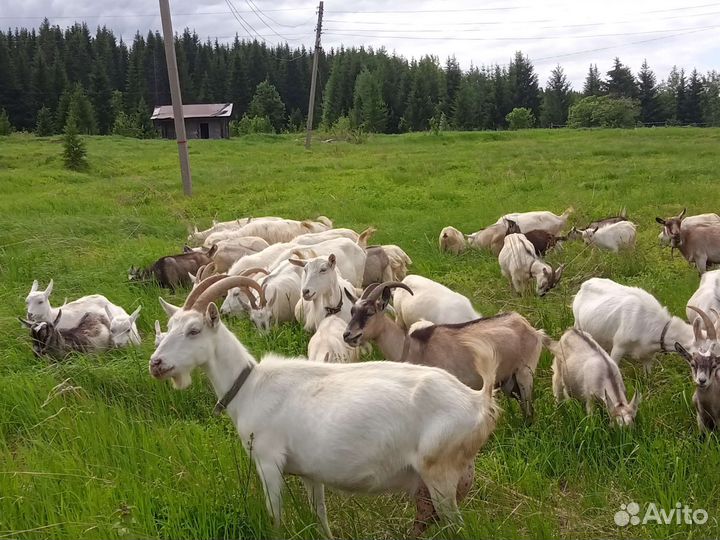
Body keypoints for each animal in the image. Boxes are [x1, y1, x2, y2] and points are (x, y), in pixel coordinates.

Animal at [149, 275, 498, 538]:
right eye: (167, 328)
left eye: (193, 330)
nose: (156, 364)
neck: (250, 386)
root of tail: (478, 401)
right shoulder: (310, 471)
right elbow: (320, 514)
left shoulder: (268, 462)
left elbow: (276, 517)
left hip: (439, 473)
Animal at [344, 281, 542, 420]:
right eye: (352, 311)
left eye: (370, 312)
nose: (347, 335)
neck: (412, 348)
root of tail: (528, 326)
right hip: (509, 379)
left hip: (525, 373)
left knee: (529, 409)